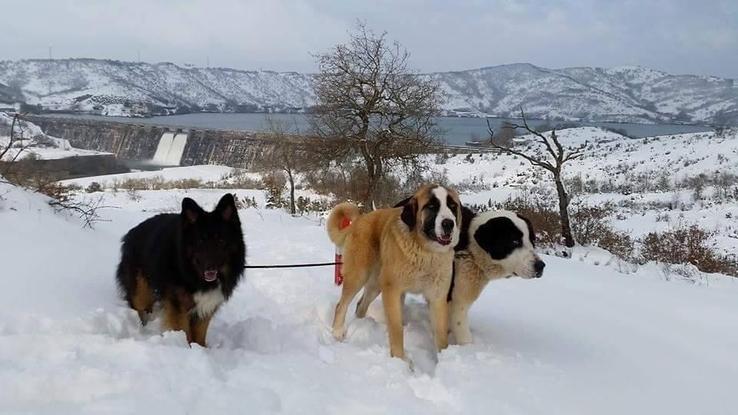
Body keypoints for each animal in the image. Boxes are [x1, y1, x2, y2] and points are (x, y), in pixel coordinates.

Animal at [324, 184, 458, 360]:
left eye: (452, 206)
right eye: (431, 206)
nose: (449, 223)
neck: (425, 253)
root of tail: (362, 218)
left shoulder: (437, 297)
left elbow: (441, 335)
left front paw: (444, 360)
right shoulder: (392, 291)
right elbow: (396, 329)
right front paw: (401, 360)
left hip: (376, 285)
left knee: (360, 305)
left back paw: (361, 324)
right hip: (359, 276)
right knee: (342, 305)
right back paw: (338, 332)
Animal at [446, 206, 544, 346]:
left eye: (532, 241)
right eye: (515, 241)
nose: (541, 266)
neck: (471, 249)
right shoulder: (458, 303)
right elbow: (463, 334)